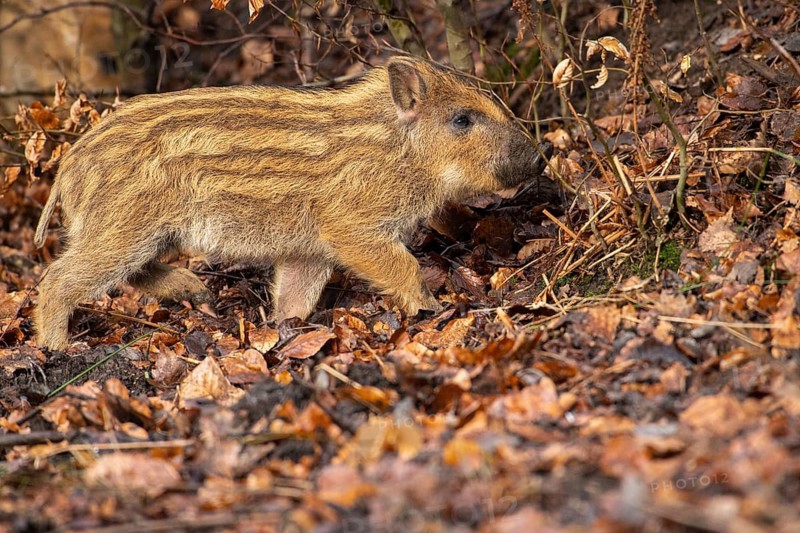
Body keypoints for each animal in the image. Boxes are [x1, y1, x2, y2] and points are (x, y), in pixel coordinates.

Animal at [33, 56, 553, 350]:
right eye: (461, 119)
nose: (541, 159)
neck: (397, 149)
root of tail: (68, 167)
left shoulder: (309, 250)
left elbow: (294, 297)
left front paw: (286, 331)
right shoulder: (349, 226)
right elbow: (402, 264)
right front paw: (430, 308)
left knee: (132, 274)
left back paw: (197, 294)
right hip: (124, 226)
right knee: (59, 278)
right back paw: (59, 348)